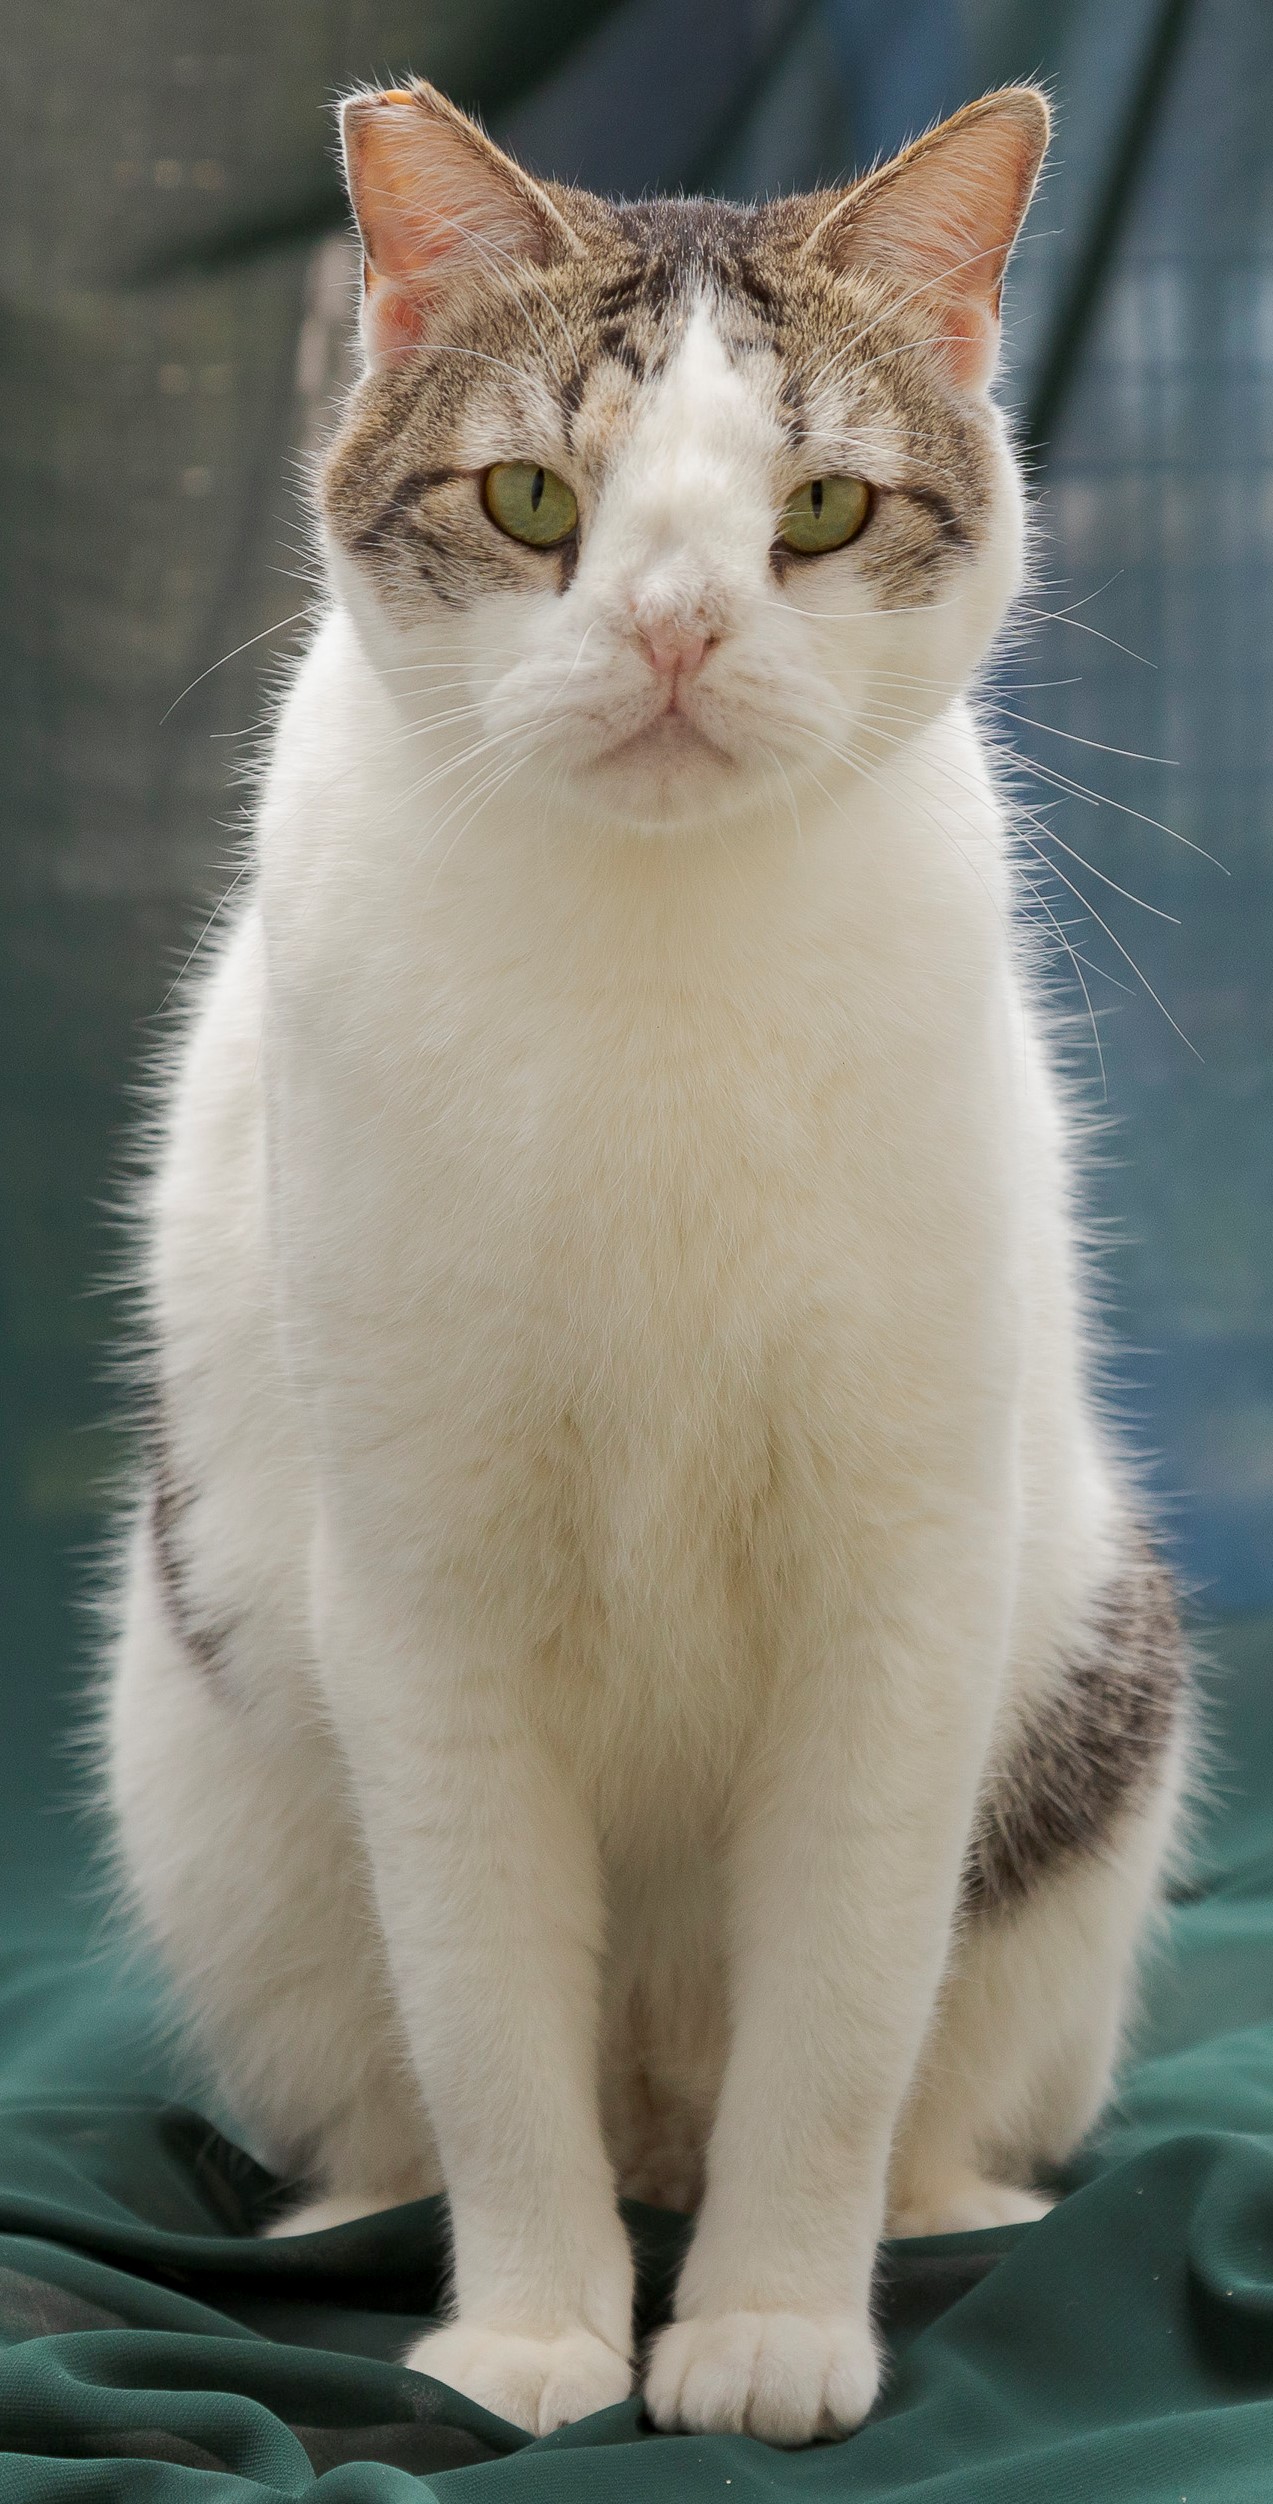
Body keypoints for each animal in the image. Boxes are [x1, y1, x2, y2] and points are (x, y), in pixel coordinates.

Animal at [104, 83, 1187, 2443]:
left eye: (817, 508)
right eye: (534, 498)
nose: (679, 625)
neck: (654, 981)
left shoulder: (901, 1577)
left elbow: (838, 2029)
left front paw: (773, 2316)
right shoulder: (423, 1590)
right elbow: (492, 2024)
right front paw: (533, 2330)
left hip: (1093, 1698)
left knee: (901, 2068)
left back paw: (941, 2201)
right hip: (216, 1784)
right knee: (410, 2070)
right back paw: (370, 2209)